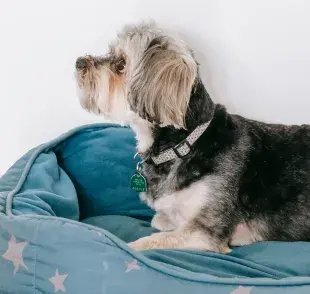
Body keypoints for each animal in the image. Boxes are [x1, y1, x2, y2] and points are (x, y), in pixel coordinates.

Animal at [74, 21, 310, 255]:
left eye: (121, 64)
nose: (78, 62)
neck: (184, 145)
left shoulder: (205, 230)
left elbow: (150, 241)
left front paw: (126, 246)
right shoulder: (168, 216)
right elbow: (159, 219)